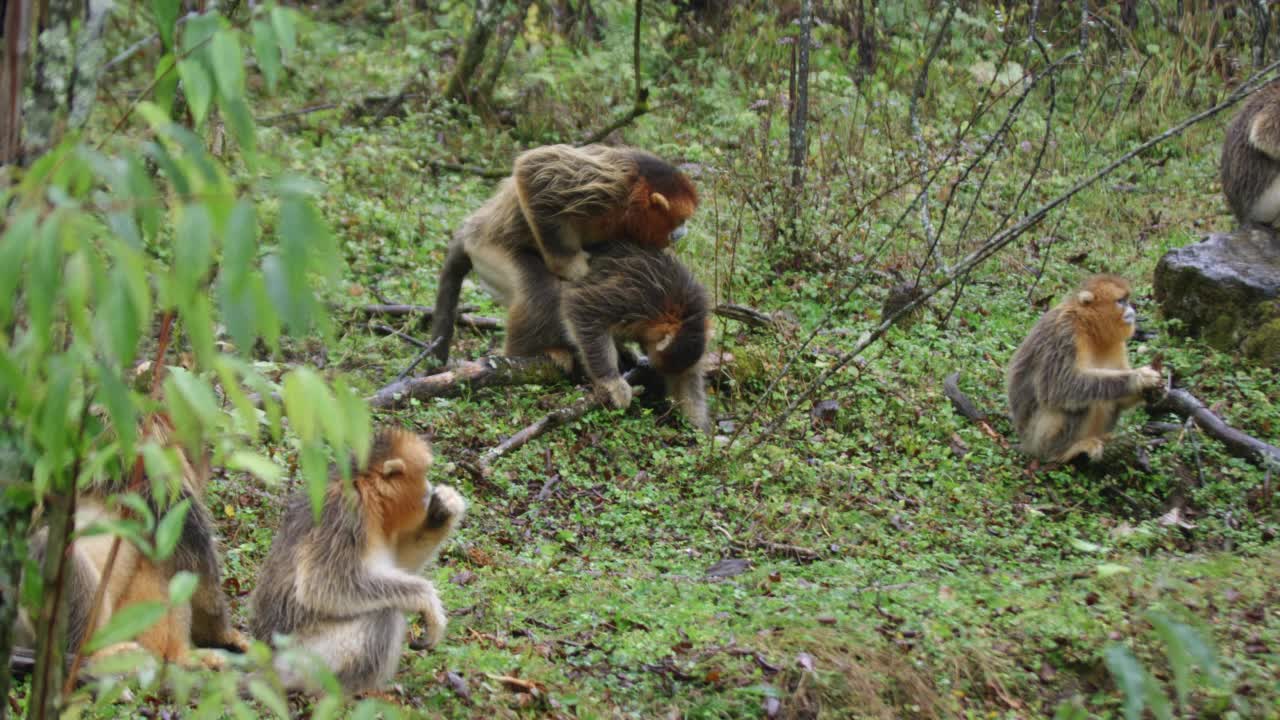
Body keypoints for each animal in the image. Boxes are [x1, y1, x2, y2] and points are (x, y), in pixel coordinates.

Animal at [248, 425, 465, 691]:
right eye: (423, 475)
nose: (428, 488)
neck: (365, 489)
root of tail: (269, 661)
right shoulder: (346, 514)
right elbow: (322, 587)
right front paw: (428, 600)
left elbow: (402, 565)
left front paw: (443, 509)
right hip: (308, 659)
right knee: (385, 610)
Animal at [432, 142, 701, 363]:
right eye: (681, 221)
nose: (683, 233)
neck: (634, 195)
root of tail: (472, 228)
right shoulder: (610, 183)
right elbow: (534, 168)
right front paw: (571, 267)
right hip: (486, 250)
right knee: (540, 292)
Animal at [1003, 271, 1167, 461]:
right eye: (1121, 301)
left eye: (1127, 300)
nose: (1132, 311)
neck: (1088, 327)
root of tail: (1025, 442)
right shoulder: (1065, 332)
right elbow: (1059, 387)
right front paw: (1139, 378)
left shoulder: (1117, 344)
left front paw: (1154, 393)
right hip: (1037, 439)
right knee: (1079, 402)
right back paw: (1061, 453)